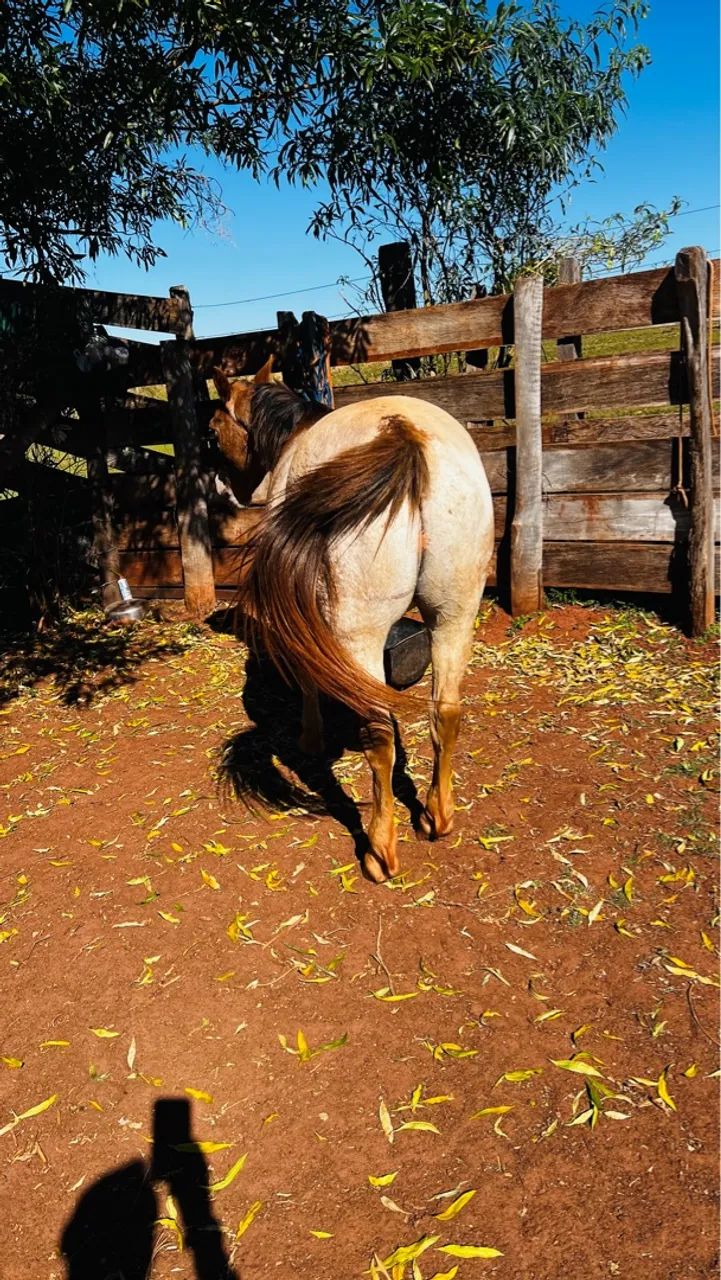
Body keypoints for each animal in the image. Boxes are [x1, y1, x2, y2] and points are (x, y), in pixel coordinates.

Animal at [211, 361, 495, 883]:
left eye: (213, 430)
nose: (224, 487)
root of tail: (403, 436)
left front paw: (310, 737)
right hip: (455, 615)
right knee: (445, 713)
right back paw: (437, 815)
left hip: (362, 631)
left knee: (379, 733)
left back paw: (380, 848)